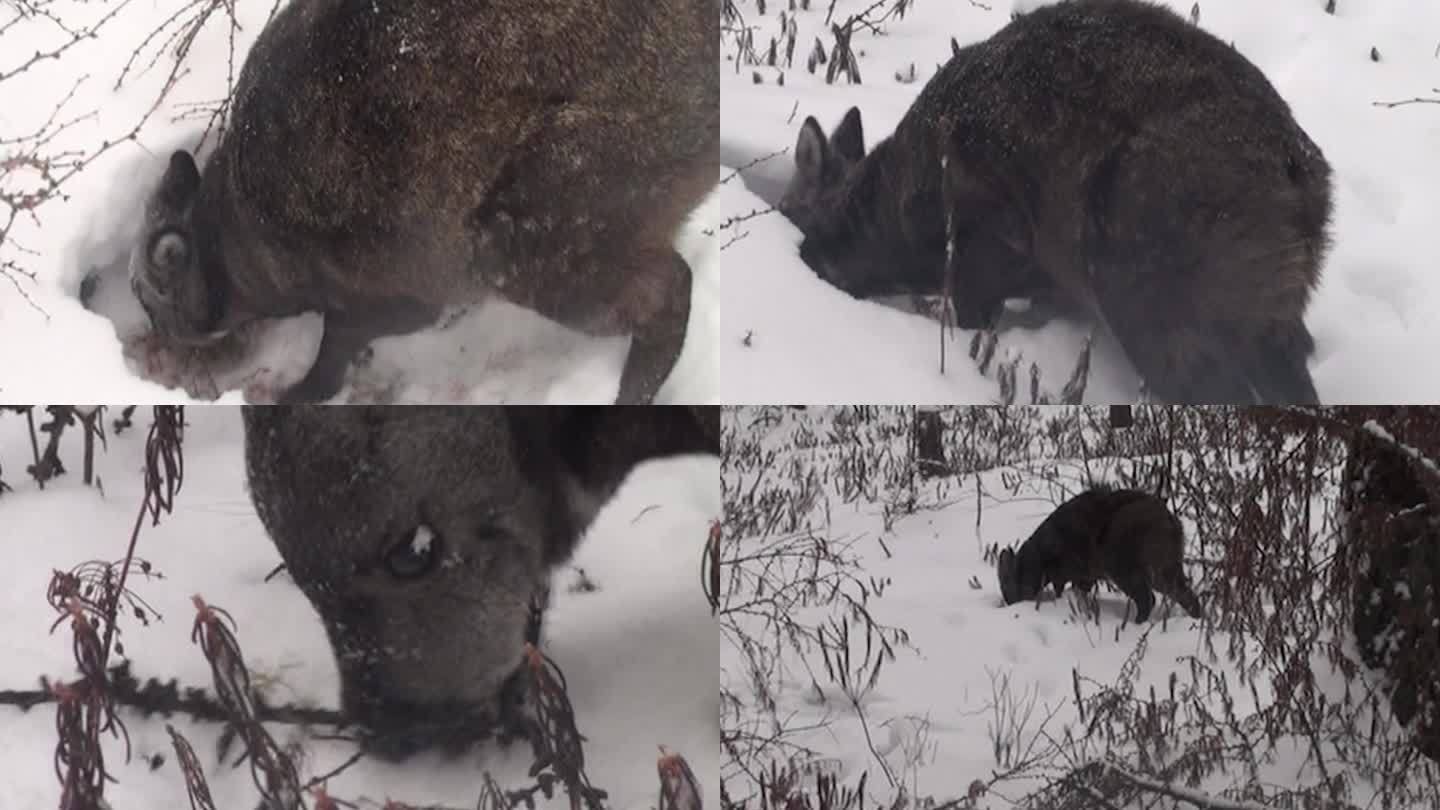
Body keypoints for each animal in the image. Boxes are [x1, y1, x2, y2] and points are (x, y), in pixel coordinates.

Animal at [129, 0, 720, 403]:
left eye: (146, 299)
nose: (155, 337)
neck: (227, 237)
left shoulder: (389, 296)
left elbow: (335, 346)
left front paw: (296, 394)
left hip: (529, 231)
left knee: (673, 288)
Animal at [783, 0, 1330, 400]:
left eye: (794, 215)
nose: (803, 257)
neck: (893, 212)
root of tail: (1304, 179)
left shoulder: (989, 235)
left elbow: (974, 316)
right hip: (1266, 307)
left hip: (1148, 280)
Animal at [996, 481, 1198, 619]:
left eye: (1007, 585)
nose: (1009, 603)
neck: (1040, 555)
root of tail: (1172, 522)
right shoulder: (1085, 576)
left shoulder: (1070, 572)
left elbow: (1062, 589)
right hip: (1167, 567)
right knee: (1186, 594)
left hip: (1124, 567)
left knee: (1147, 599)